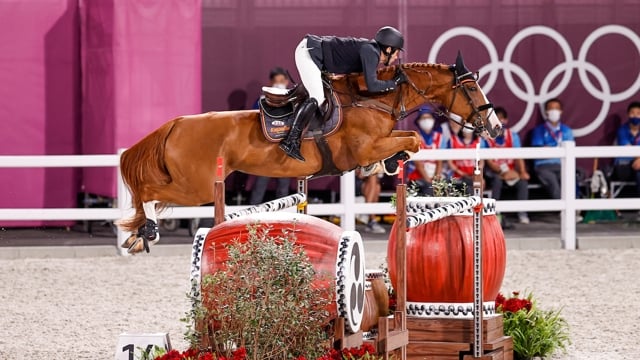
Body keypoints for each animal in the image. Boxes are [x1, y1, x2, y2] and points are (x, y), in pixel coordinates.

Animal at [117, 51, 502, 253]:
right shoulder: (363, 148)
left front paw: (390, 165)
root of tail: (176, 123)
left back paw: (139, 233)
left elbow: (409, 138)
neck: (371, 97)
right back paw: (145, 231)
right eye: (471, 88)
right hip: (196, 185)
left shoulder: (380, 138)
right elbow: (413, 140)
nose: (496, 128)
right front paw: (388, 163)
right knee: (149, 192)